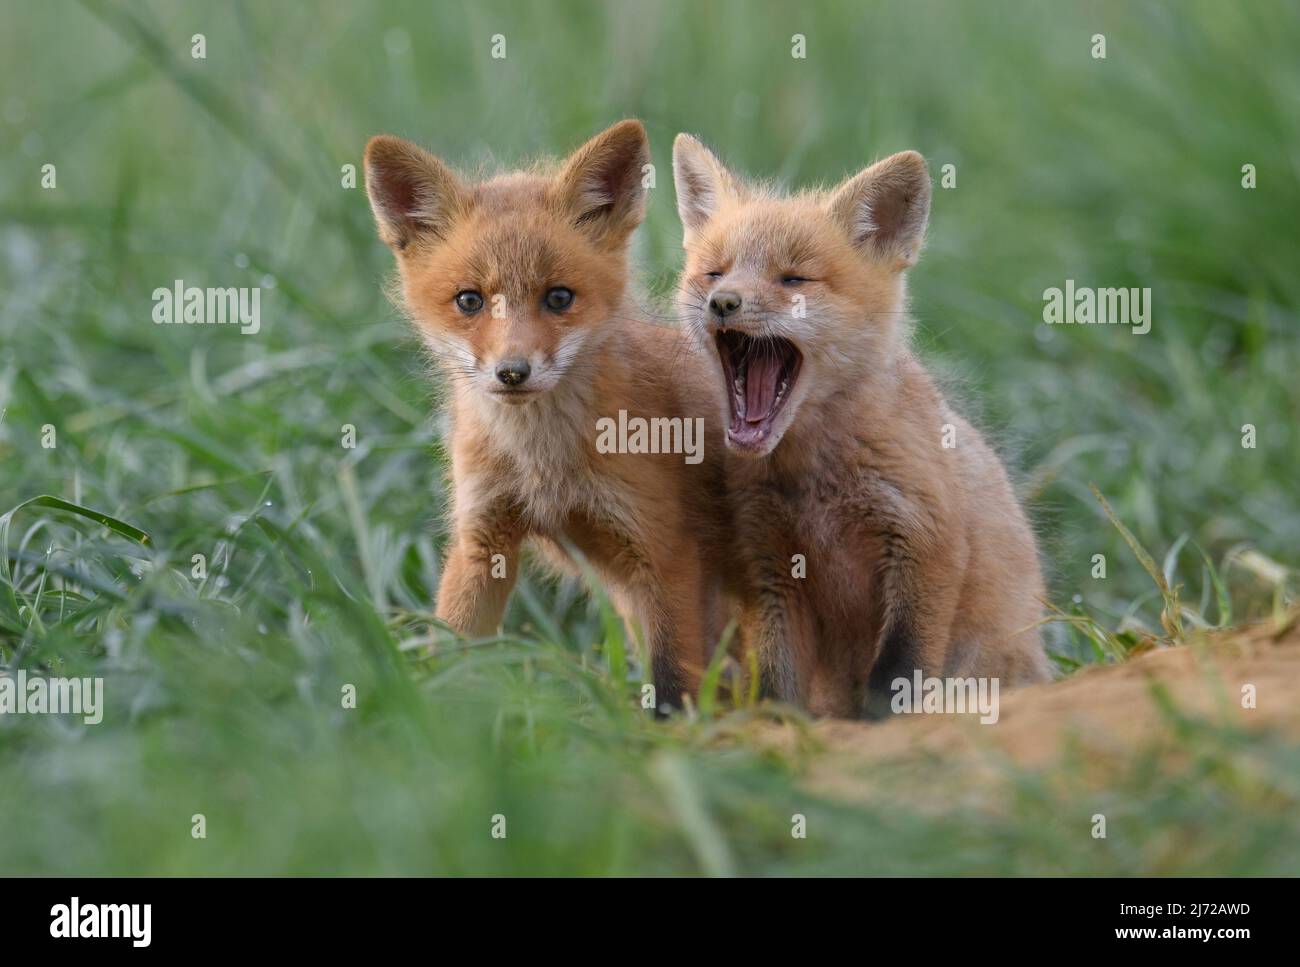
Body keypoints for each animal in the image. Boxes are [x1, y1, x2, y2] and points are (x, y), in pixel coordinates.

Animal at [363, 121, 737, 709]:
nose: (512, 372)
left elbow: (672, 687)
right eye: (469, 301)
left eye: (559, 298)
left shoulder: (666, 551)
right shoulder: (482, 539)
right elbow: (453, 650)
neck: (542, 460)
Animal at [671, 134, 1050, 718]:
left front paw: (885, 722)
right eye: (714, 272)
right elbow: (777, 684)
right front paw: (780, 726)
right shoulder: (771, 567)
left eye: (793, 279)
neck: (815, 478)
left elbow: (897, 674)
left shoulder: (926, 543)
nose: (723, 302)